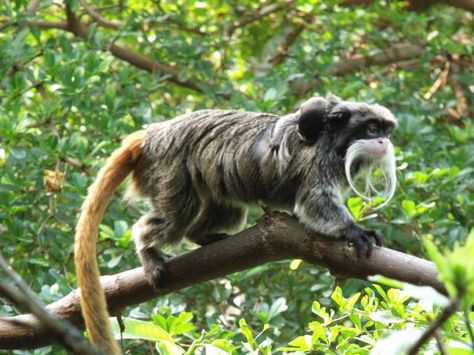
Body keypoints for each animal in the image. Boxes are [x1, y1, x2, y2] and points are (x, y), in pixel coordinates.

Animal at [76, 94, 398, 354]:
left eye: (385, 131)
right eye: (372, 130)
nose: (384, 141)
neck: (334, 142)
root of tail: (151, 136)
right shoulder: (318, 160)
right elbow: (316, 202)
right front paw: (354, 231)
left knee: (221, 212)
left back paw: (206, 237)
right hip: (169, 167)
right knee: (176, 216)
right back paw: (148, 249)